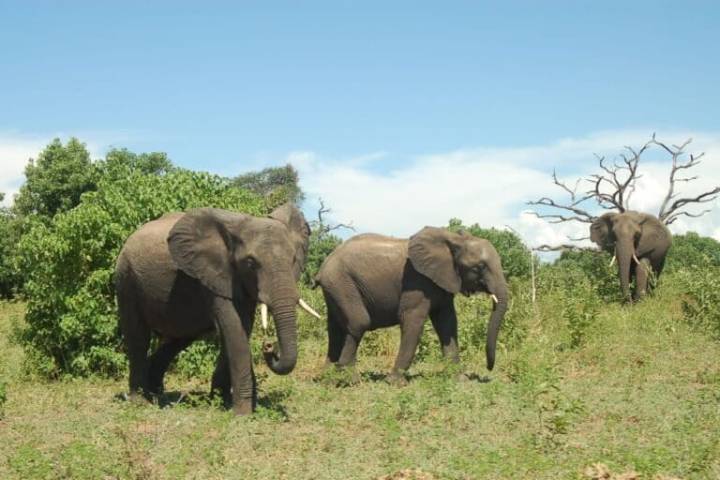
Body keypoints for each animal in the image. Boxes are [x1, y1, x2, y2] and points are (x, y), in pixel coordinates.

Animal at [115, 203, 319, 415]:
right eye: (250, 263)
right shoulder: (212, 275)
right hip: (127, 279)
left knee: (177, 340)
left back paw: (157, 394)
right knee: (138, 337)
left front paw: (222, 402)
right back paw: (140, 401)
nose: (269, 346)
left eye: (294, 259)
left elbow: (241, 329)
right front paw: (242, 413)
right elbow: (234, 329)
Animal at [314, 226, 509, 384]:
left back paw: (330, 380)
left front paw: (460, 380)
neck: (453, 240)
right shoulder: (416, 280)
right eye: (479, 267)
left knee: (336, 328)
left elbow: (448, 323)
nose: (488, 368)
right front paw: (395, 383)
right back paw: (347, 379)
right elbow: (412, 319)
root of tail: (323, 267)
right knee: (358, 322)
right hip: (342, 283)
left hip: (335, 287)